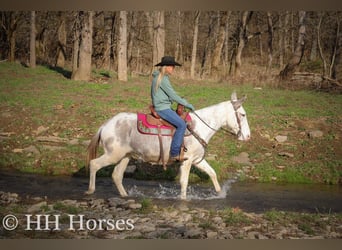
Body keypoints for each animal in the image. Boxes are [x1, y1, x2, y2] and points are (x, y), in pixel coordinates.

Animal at [85, 92, 251, 199]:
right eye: (243, 114)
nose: (248, 136)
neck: (199, 128)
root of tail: (105, 125)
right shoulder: (187, 161)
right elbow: (184, 182)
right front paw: (183, 200)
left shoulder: (197, 160)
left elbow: (212, 173)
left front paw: (220, 193)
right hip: (113, 155)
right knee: (94, 164)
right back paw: (90, 190)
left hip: (125, 156)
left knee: (117, 175)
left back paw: (125, 195)